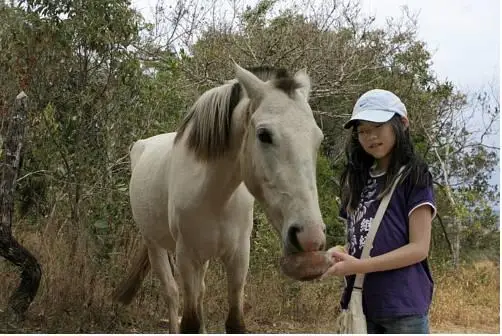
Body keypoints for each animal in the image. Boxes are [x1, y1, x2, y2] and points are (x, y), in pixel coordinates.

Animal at [112, 63, 328, 334]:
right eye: (264, 135)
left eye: (317, 138)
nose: (310, 237)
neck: (215, 196)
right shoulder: (187, 257)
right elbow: (190, 322)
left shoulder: (238, 258)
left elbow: (234, 322)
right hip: (155, 246)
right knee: (172, 294)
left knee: (199, 293)